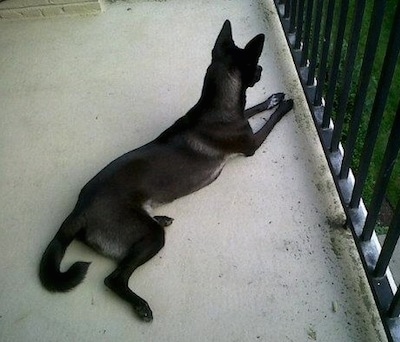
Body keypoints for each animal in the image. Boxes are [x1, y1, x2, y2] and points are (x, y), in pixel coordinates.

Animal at [39, 20, 292, 320]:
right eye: (256, 65)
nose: (262, 70)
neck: (215, 106)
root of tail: (78, 210)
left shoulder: (244, 122)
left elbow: (254, 109)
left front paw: (273, 99)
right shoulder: (251, 144)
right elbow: (269, 122)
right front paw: (285, 105)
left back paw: (161, 219)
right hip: (148, 239)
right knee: (113, 279)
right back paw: (139, 304)